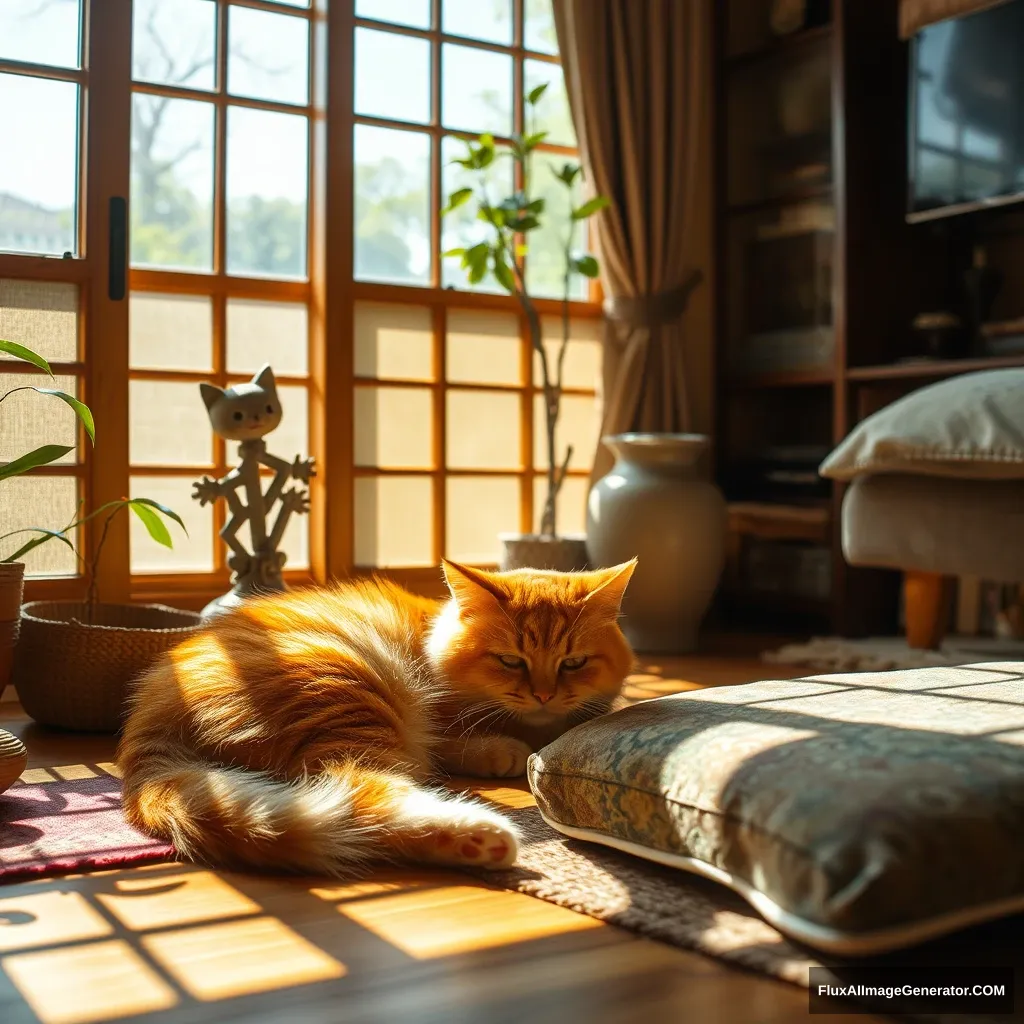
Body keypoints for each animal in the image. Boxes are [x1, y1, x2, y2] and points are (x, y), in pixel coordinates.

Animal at [117, 561, 630, 872]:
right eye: (510, 661)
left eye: (573, 663)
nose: (544, 694)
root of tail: (149, 721)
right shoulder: (440, 723)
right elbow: (466, 740)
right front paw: (504, 751)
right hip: (350, 693)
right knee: (365, 789)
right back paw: (481, 833)